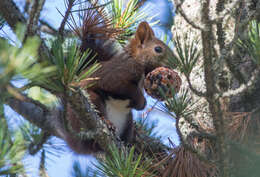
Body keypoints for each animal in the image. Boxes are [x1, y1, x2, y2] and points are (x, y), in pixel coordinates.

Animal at [63, 4, 175, 153]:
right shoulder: (119, 72)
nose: (177, 63)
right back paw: (106, 124)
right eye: (158, 49)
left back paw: (127, 145)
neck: (135, 60)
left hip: (128, 121)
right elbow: (117, 86)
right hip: (91, 101)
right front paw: (141, 102)